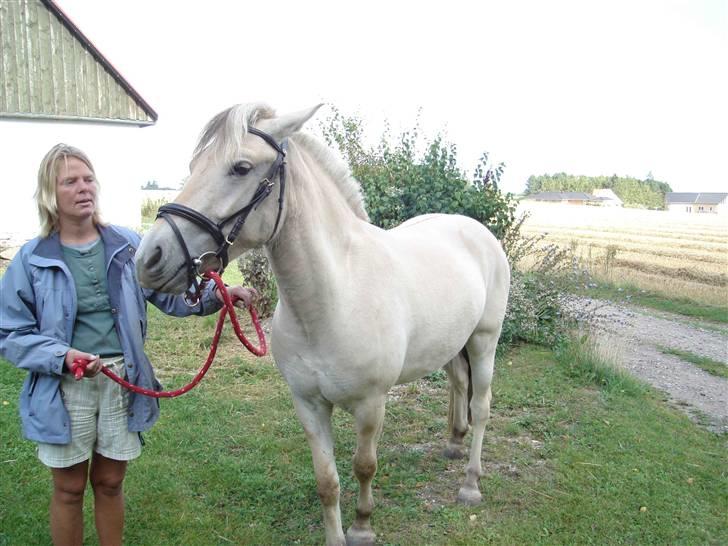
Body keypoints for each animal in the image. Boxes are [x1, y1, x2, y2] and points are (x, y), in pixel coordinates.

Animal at [138, 103, 512, 544]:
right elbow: (327, 481)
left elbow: (364, 466)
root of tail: (473, 229)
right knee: (458, 384)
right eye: (194, 165)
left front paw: (362, 526)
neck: (334, 298)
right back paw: (453, 443)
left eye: (241, 167)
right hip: (453, 343)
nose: (149, 258)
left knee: (481, 405)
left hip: (485, 340)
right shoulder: (309, 404)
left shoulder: (371, 404)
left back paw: (470, 483)